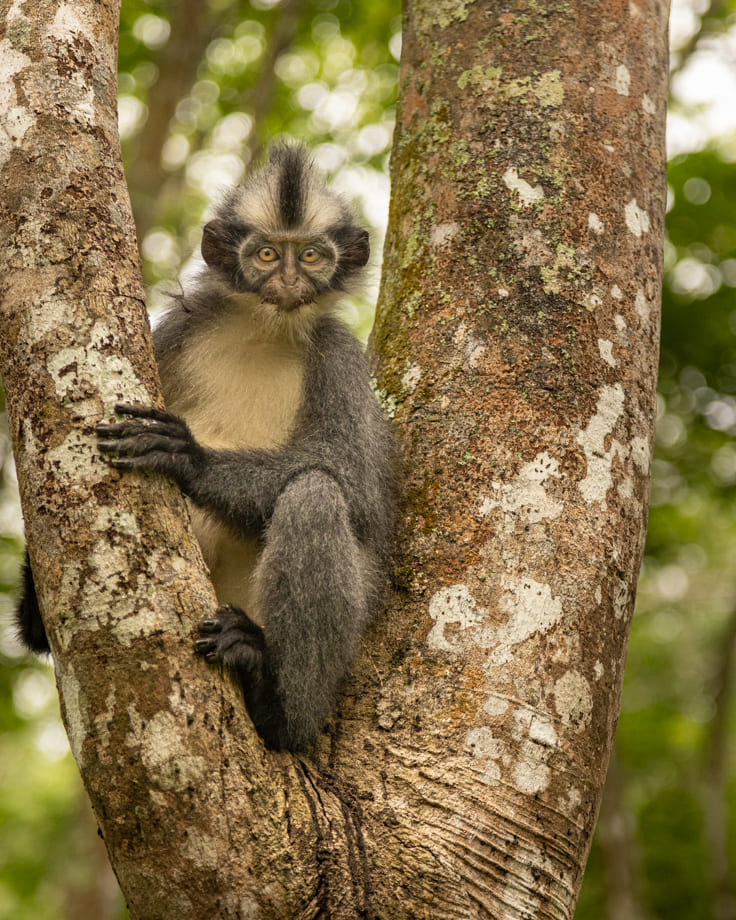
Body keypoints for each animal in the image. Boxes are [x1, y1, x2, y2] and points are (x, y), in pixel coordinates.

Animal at [15, 144, 397, 751]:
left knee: (315, 495)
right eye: (266, 254)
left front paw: (189, 458)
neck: (264, 331)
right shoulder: (179, 330)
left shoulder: (337, 357)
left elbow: (355, 484)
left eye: (312, 256)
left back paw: (277, 703)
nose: (289, 280)